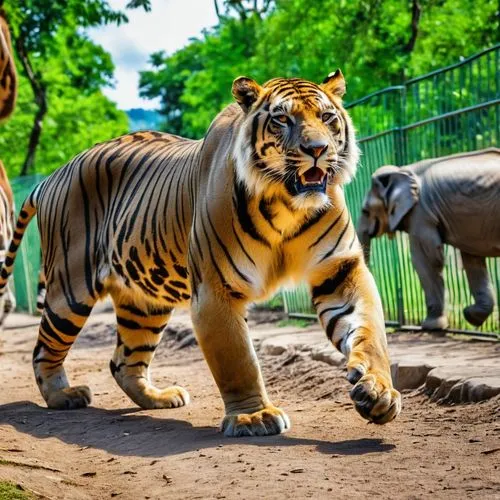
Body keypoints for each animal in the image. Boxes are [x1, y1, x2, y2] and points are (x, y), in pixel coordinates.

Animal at [0, 71, 400, 438]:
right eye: (282, 119)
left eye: (327, 117)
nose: (317, 149)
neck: (287, 206)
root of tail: (53, 175)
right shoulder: (214, 289)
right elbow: (237, 359)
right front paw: (254, 417)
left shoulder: (340, 270)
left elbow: (369, 331)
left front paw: (378, 392)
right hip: (70, 289)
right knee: (44, 349)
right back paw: (63, 396)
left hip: (144, 304)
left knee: (123, 361)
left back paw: (159, 398)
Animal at [358, 146, 500, 330]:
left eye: (365, 211)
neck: (403, 171)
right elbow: (472, 259)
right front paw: (470, 316)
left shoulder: (421, 212)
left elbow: (427, 259)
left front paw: (431, 326)